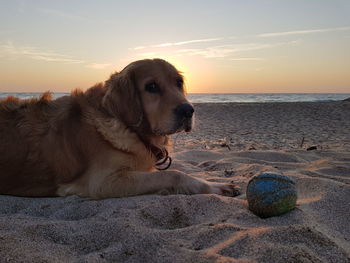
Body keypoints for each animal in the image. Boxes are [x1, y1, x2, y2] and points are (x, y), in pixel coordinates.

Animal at [0, 58, 238, 199]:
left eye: (178, 83)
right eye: (151, 86)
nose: (188, 111)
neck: (128, 127)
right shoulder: (100, 183)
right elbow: (175, 175)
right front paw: (214, 187)